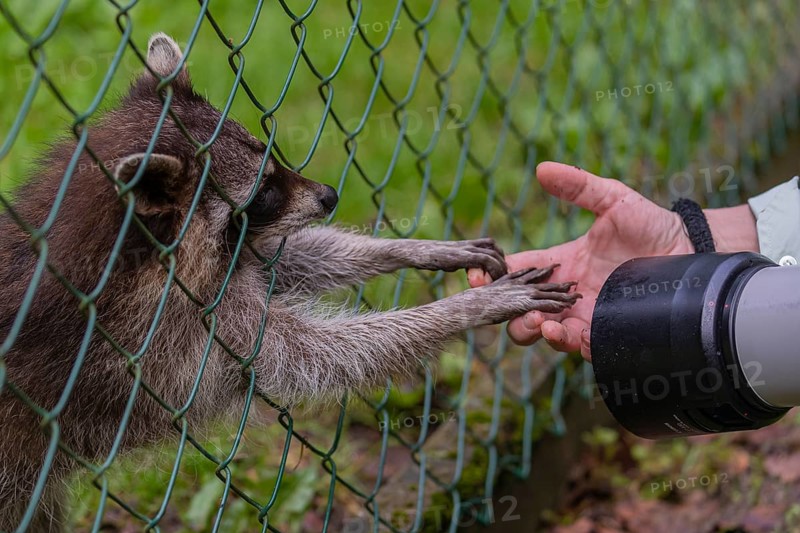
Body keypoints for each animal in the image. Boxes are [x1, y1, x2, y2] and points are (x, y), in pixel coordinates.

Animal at [0, 34, 579, 531]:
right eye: (263, 192)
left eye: (271, 157)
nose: (329, 195)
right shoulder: (176, 330)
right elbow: (320, 352)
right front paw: (462, 309)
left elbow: (281, 262)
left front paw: (405, 248)